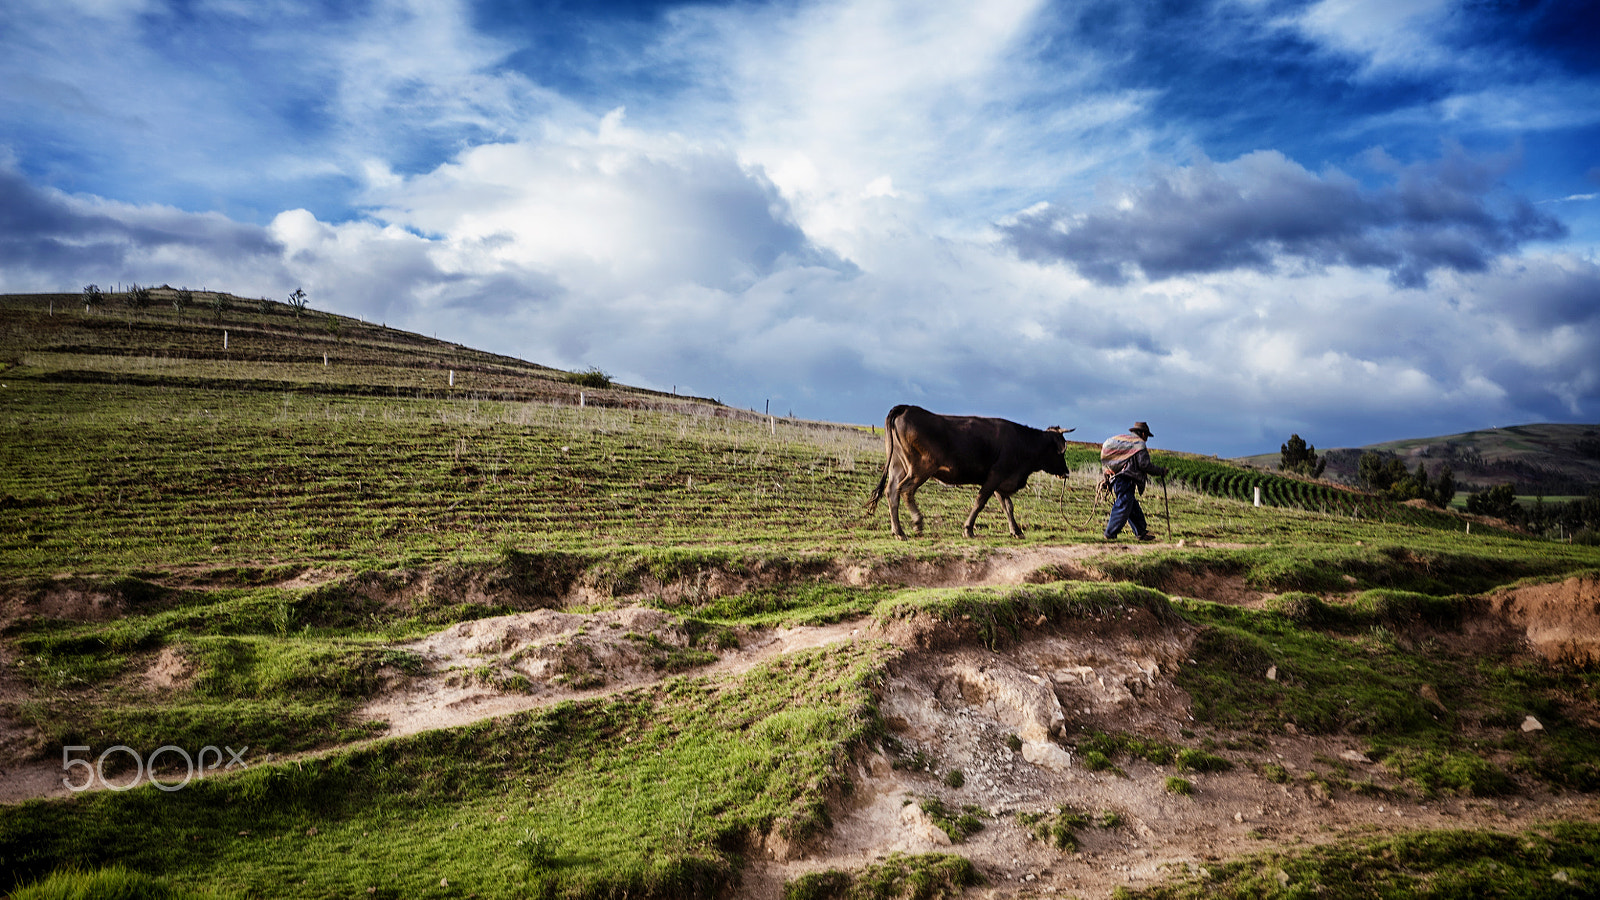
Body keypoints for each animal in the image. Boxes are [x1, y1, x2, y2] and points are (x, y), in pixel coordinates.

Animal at [865, 404, 1074, 539]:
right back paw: (917, 523)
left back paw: (898, 531)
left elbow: (1008, 506)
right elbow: (980, 502)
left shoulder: (999, 481)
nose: (1066, 471)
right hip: (921, 467)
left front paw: (1016, 531)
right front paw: (968, 529)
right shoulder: (996, 476)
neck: (1023, 443)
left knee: (892, 492)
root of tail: (907, 408)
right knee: (906, 490)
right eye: (1061, 451)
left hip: (897, 465)